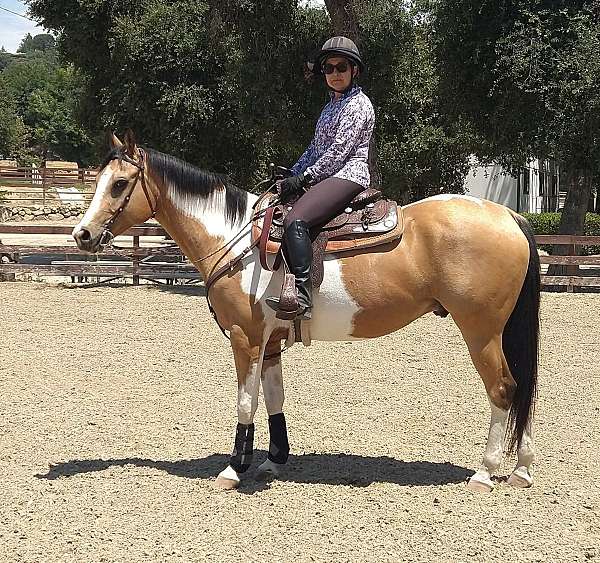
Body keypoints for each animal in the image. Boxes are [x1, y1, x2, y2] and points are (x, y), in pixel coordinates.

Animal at [72, 132, 540, 494]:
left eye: (119, 184)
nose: (82, 235)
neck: (234, 239)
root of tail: (509, 215)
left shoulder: (246, 338)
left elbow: (246, 402)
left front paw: (234, 467)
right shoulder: (270, 343)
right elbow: (274, 398)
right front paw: (274, 459)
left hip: (481, 331)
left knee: (503, 390)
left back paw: (485, 472)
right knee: (522, 391)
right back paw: (521, 469)